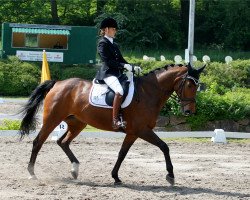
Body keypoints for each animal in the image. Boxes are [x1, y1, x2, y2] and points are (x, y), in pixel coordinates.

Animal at [19, 63, 205, 186]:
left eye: (198, 86)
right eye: (189, 84)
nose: (189, 112)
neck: (149, 93)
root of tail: (57, 83)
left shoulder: (133, 133)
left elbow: (122, 154)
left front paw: (115, 177)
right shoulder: (142, 130)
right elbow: (164, 146)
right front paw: (171, 175)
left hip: (77, 123)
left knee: (62, 142)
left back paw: (74, 169)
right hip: (52, 119)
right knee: (38, 142)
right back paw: (32, 173)